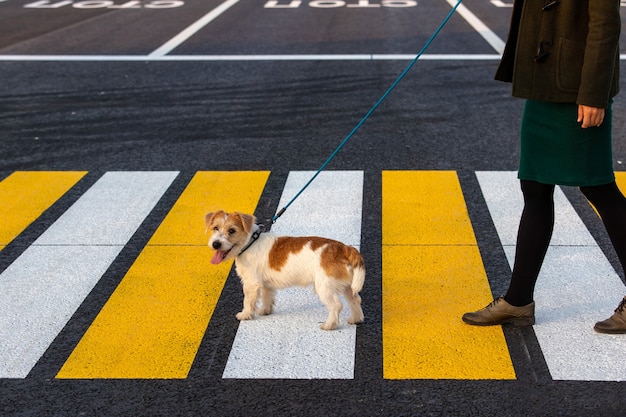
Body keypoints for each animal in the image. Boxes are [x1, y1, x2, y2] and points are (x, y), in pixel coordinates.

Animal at [205, 210, 364, 330]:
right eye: (215, 228)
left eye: (232, 230)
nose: (215, 244)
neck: (251, 242)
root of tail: (344, 248)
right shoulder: (266, 284)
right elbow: (267, 296)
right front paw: (265, 311)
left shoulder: (250, 284)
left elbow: (248, 301)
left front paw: (245, 315)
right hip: (347, 286)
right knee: (355, 299)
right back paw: (355, 319)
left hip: (324, 287)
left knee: (336, 305)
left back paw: (329, 325)